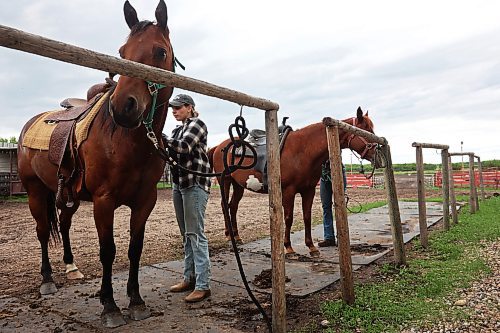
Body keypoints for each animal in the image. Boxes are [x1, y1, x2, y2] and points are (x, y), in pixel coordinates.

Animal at [17, 0, 174, 326]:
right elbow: (108, 251)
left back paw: (71, 267)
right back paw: (47, 279)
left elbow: (134, 249)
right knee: (42, 231)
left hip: (69, 196)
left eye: (160, 52)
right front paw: (110, 305)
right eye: (122, 53)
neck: (128, 142)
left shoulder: (145, 201)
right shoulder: (104, 201)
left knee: (63, 225)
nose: (123, 107)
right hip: (35, 191)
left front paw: (136, 301)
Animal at [208, 107, 382, 255]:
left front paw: (311, 246)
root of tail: (218, 146)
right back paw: (229, 236)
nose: (379, 155)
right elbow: (288, 218)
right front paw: (288, 247)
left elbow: (307, 217)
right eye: (365, 130)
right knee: (225, 205)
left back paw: (236, 236)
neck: (302, 150)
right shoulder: (288, 191)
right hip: (225, 181)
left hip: (238, 185)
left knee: (233, 206)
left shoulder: (308, 191)